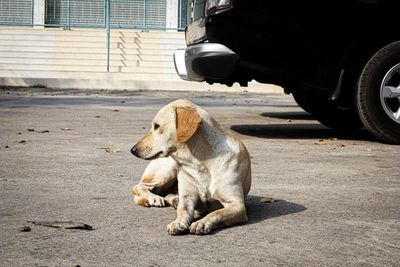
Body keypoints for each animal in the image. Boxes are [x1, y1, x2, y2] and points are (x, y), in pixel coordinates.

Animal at [130, 99, 250, 236]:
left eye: (156, 126)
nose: (132, 150)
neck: (199, 162)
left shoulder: (237, 205)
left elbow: (216, 213)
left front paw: (202, 222)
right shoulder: (188, 198)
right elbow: (183, 211)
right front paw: (178, 222)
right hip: (169, 169)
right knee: (139, 186)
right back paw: (153, 198)